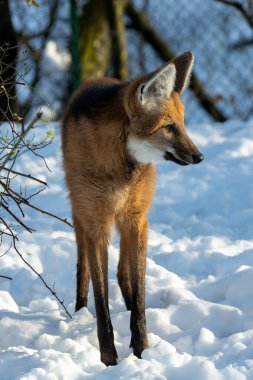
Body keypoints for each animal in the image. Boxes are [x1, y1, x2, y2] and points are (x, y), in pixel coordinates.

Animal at [62, 50, 205, 366]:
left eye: (182, 124)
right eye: (168, 127)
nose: (199, 157)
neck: (119, 167)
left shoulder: (137, 218)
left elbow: (139, 293)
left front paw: (141, 350)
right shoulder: (97, 223)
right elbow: (101, 301)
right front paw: (109, 359)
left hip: (132, 222)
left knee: (123, 273)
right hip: (81, 216)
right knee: (83, 268)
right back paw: (79, 311)